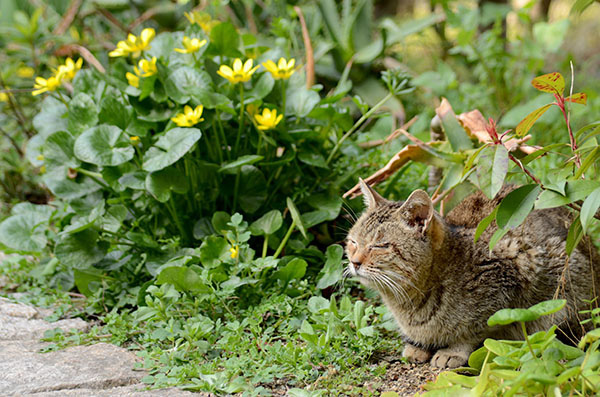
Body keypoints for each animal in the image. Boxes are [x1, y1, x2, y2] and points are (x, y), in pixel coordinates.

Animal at [346, 179, 600, 368]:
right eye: (353, 242)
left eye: (380, 246)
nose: (354, 262)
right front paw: (418, 346)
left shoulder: (511, 274)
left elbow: (474, 330)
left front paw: (453, 351)